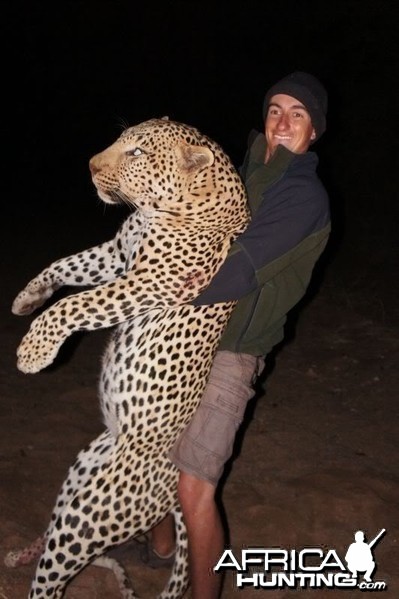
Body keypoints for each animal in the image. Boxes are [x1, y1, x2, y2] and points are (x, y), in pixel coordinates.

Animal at [8, 115, 250, 596]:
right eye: (120, 140)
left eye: (137, 152)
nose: (90, 165)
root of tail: (174, 491)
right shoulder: (116, 256)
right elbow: (64, 266)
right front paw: (28, 298)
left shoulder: (149, 282)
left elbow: (75, 304)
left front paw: (34, 351)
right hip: (81, 471)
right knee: (54, 533)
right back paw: (22, 554)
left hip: (95, 512)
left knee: (53, 574)